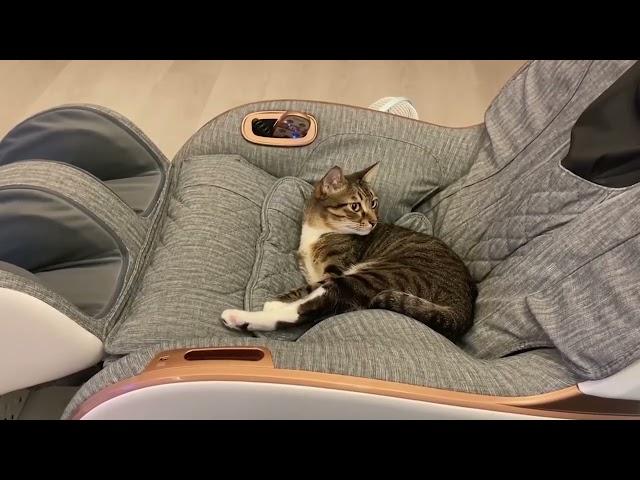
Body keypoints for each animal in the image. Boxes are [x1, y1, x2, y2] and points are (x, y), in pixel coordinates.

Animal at [220, 162, 476, 342]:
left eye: (373, 203)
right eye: (355, 206)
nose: (373, 222)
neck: (318, 232)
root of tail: (464, 308)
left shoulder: (335, 270)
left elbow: (309, 289)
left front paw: (278, 300)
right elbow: (310, 285)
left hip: (381, 274)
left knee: (313, 307)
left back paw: (239, 316)